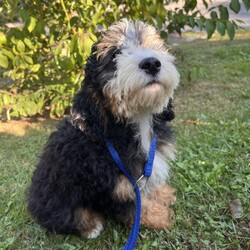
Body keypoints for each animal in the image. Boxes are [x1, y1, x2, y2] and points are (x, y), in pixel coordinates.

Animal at [27, 19, 180, 238]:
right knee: (61, 215)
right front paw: (160, 218)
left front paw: (163, 194)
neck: (135, 119)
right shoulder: (117, 186)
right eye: (114, 55)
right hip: (56, 194)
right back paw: (90, 225)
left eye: (153, 46)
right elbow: (136, 206)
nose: (152, 63)